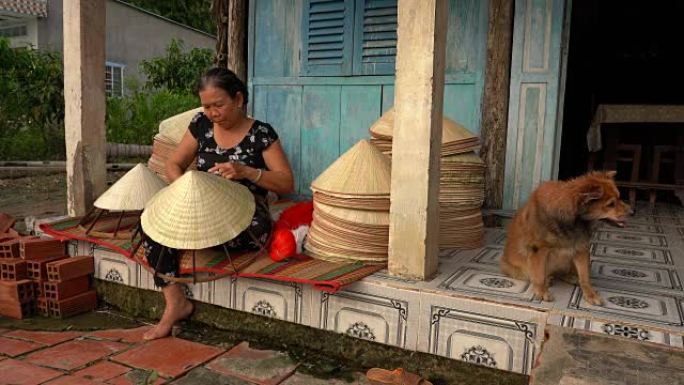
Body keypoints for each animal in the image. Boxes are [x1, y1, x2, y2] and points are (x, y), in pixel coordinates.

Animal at [500, 170, 632, 304]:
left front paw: (590, 294)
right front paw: (541, 291)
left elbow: (584, 276)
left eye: (619, 197)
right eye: (610, 204)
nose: (632, 212)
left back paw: (571, 277)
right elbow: (539, 275)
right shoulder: (538, 249)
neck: (573, 220)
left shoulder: (581, 247)